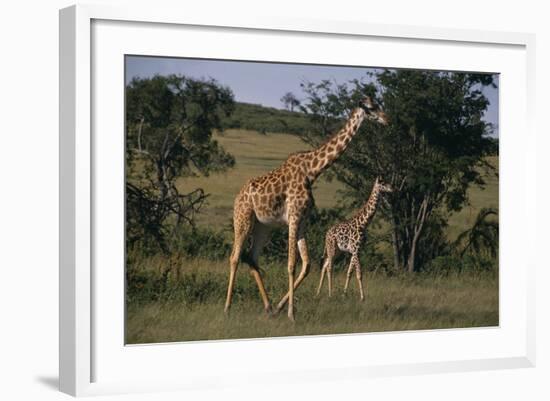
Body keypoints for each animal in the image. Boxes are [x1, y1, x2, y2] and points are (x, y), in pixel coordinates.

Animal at [224, 96, 388, 318]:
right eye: (371, 108)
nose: (386, 119)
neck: (312, 171)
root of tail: (237, 197)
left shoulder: (302, 220)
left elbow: (307, 265)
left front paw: (281, 307)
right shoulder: (293, 217)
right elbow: (292, 264)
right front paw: (291, 314)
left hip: (263, 226)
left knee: (251, 257)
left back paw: (268, 307)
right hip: (243, 219)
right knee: (235, 257)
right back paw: (227, 307)